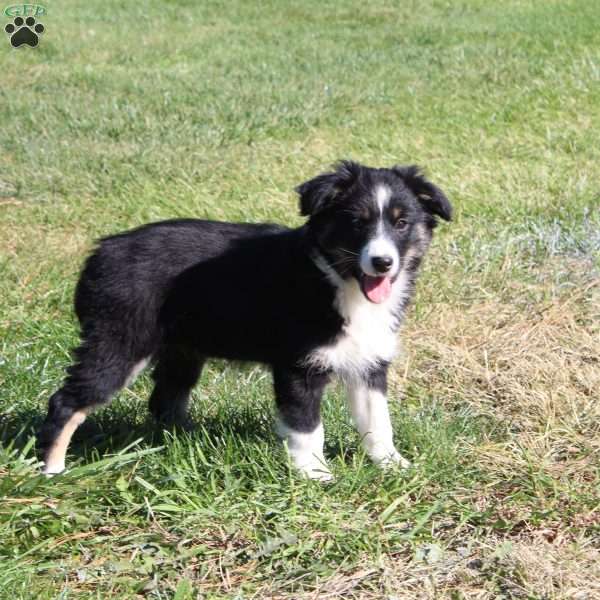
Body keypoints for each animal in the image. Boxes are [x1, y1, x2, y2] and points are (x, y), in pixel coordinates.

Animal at [37, 162, 450, 480]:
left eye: (401, 223)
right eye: (356, 223)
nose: (382, 263)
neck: (334, 278)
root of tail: (99, 251)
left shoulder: (370, 361)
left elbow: (378, 422)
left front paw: (393, 465)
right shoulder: (298, 367)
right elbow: (307, 427)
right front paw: (315, 474)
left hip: (182, 350)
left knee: (164, 400)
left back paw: (187, 440)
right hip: (119, 343)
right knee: (65, 403)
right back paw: (53, 471)